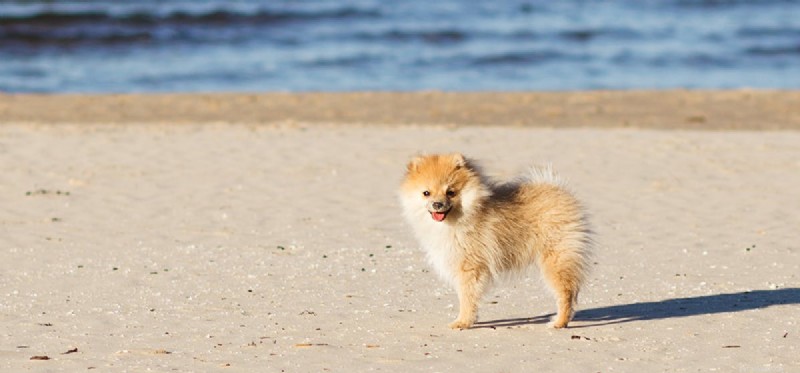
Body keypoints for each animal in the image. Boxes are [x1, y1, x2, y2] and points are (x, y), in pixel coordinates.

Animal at [400, 153, 592, 326]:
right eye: (426, 193)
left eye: (451, 192)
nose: (437, 204)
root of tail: (559, 191)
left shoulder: (470, 267)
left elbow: (467, 296)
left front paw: (462, 322)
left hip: (556, 259)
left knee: (566, 292)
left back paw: (558, 322)